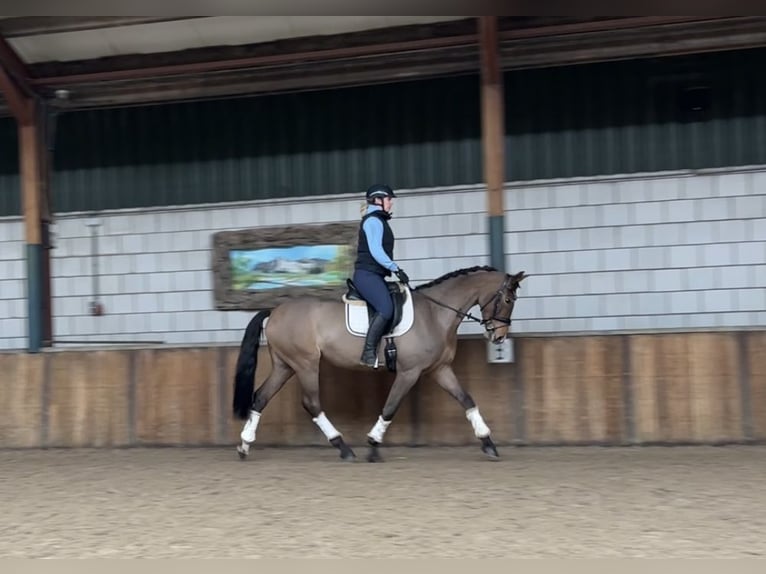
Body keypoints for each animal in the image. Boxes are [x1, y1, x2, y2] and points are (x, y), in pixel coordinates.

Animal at [231, 266, 528, 464]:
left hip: (285, 365)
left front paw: (488, 443)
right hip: (305, 364)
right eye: (508, 300)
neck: (435, 313)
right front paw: (373, 445)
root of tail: (275, 311)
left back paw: (245, 446)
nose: (499, 337)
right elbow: (390, 407)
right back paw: (343, 448)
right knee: (311, 403)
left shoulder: (439, 369)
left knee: (261, 397)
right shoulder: (409, 372)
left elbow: (467, 400)